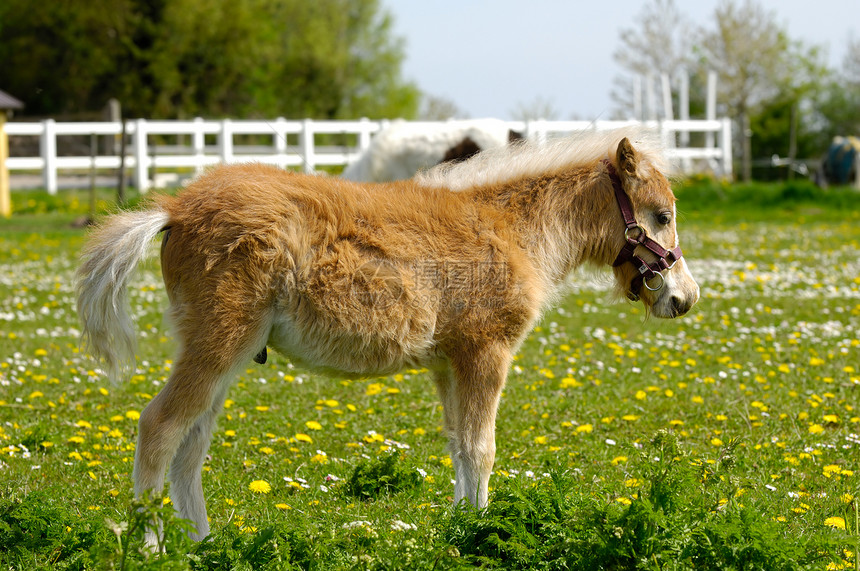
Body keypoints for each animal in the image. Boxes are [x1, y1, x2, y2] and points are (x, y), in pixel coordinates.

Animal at [77, 128, 700, 544]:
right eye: (662, 215)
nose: (683, 299)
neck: (510, 229)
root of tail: (176, 208)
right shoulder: (487, 353)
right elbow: (482, 449)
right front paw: (480, 533)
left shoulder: (449, 363)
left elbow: (458, 446)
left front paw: (459, 529)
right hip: (219, 344)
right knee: (160, 426)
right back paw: (152, 547)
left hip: (226, 355)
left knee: (191, 445)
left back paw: (202, 545)